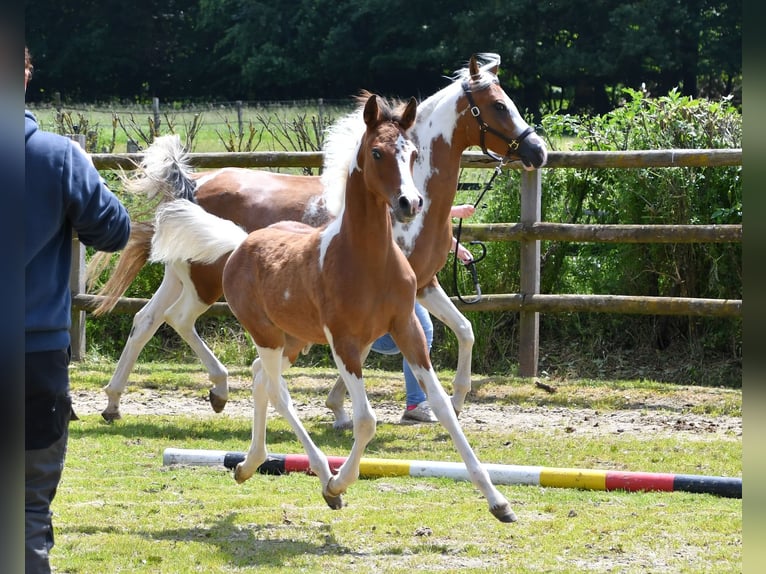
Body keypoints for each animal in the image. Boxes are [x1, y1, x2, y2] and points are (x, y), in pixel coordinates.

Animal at [90, 54, 548, 424]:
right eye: (499, 105)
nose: (538, 152)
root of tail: (194, 184)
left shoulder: (423, 284)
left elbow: (465, 329)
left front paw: (454, 400)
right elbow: (367, 348)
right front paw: (339, 407)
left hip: (181, 274)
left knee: (146, 320)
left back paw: (114, 402)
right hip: (204, 283)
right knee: (178, 318)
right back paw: (219, 389)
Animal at [148, 95, 520, 528]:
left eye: (413, 154)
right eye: (376, 153)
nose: (410, 203)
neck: (367, 258)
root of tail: (242, 242)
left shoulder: (406, 326)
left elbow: (443, 406)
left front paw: (498, 502)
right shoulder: (344, 341)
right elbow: (365, 420)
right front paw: (339, 484)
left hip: (293, 340)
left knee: (260, 380)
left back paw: (250, 463)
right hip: (266, 334)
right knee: (276, 390)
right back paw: (316, 472)